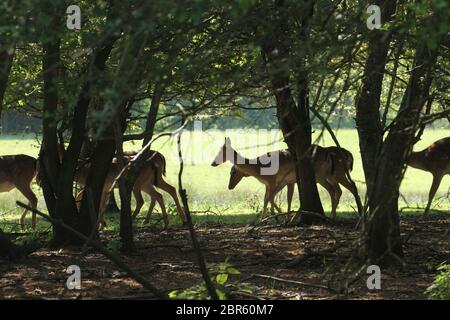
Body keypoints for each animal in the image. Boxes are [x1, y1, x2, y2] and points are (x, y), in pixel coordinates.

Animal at [213, 138, 356, 220]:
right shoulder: (279, 182)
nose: (213, 163)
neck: (259, 169)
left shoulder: (274, 180)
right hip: (323, 177)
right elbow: (270, 198)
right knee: (334, 190)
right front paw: (275, 218)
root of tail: (349, 154)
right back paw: (331, 216)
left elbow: (271, 198)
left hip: (336, 173)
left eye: (233, 171)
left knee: (350, 186)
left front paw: (272, 219)